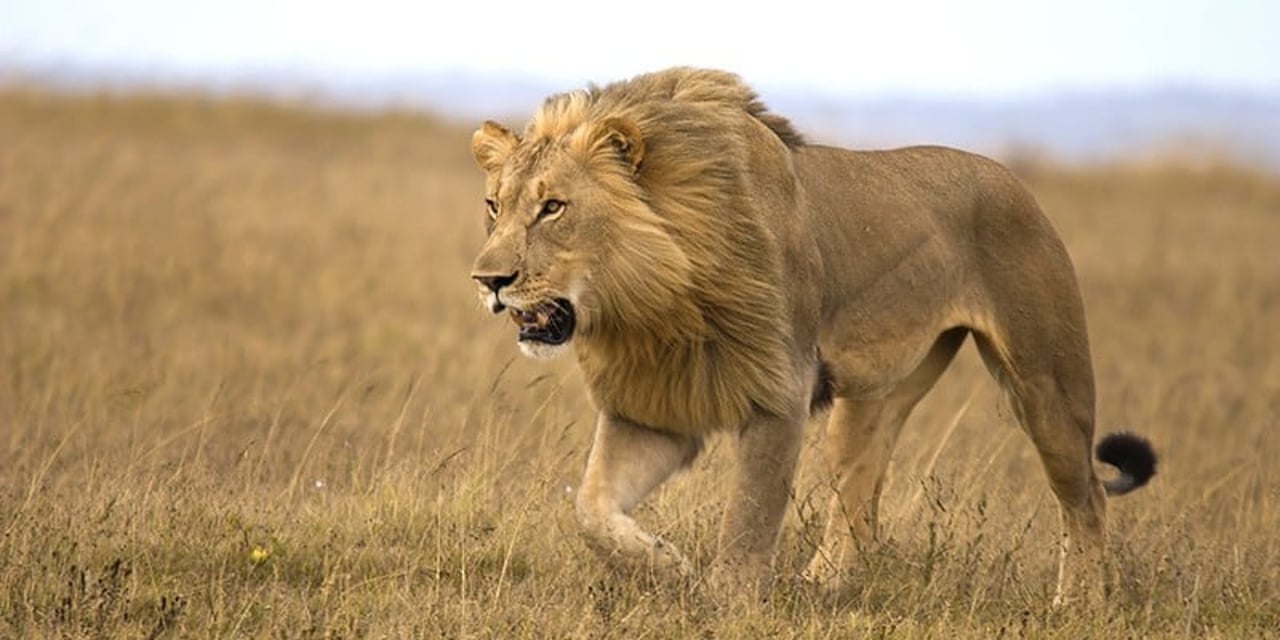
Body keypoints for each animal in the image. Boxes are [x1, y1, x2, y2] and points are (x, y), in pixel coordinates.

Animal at [471, 67, 1162, 601]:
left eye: (553, 207)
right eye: (494, 205)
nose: (489, 280)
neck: (653, 302)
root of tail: (1016, 180)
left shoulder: (779, 392)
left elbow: (748, 522)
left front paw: (725, 604)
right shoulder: (654, 406)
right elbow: (591, 510)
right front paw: (669, 567)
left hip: (1046, 382)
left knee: (1087, 498)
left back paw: (1078, 604)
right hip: (872, 401)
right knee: (859, 500)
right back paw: (821, 586)